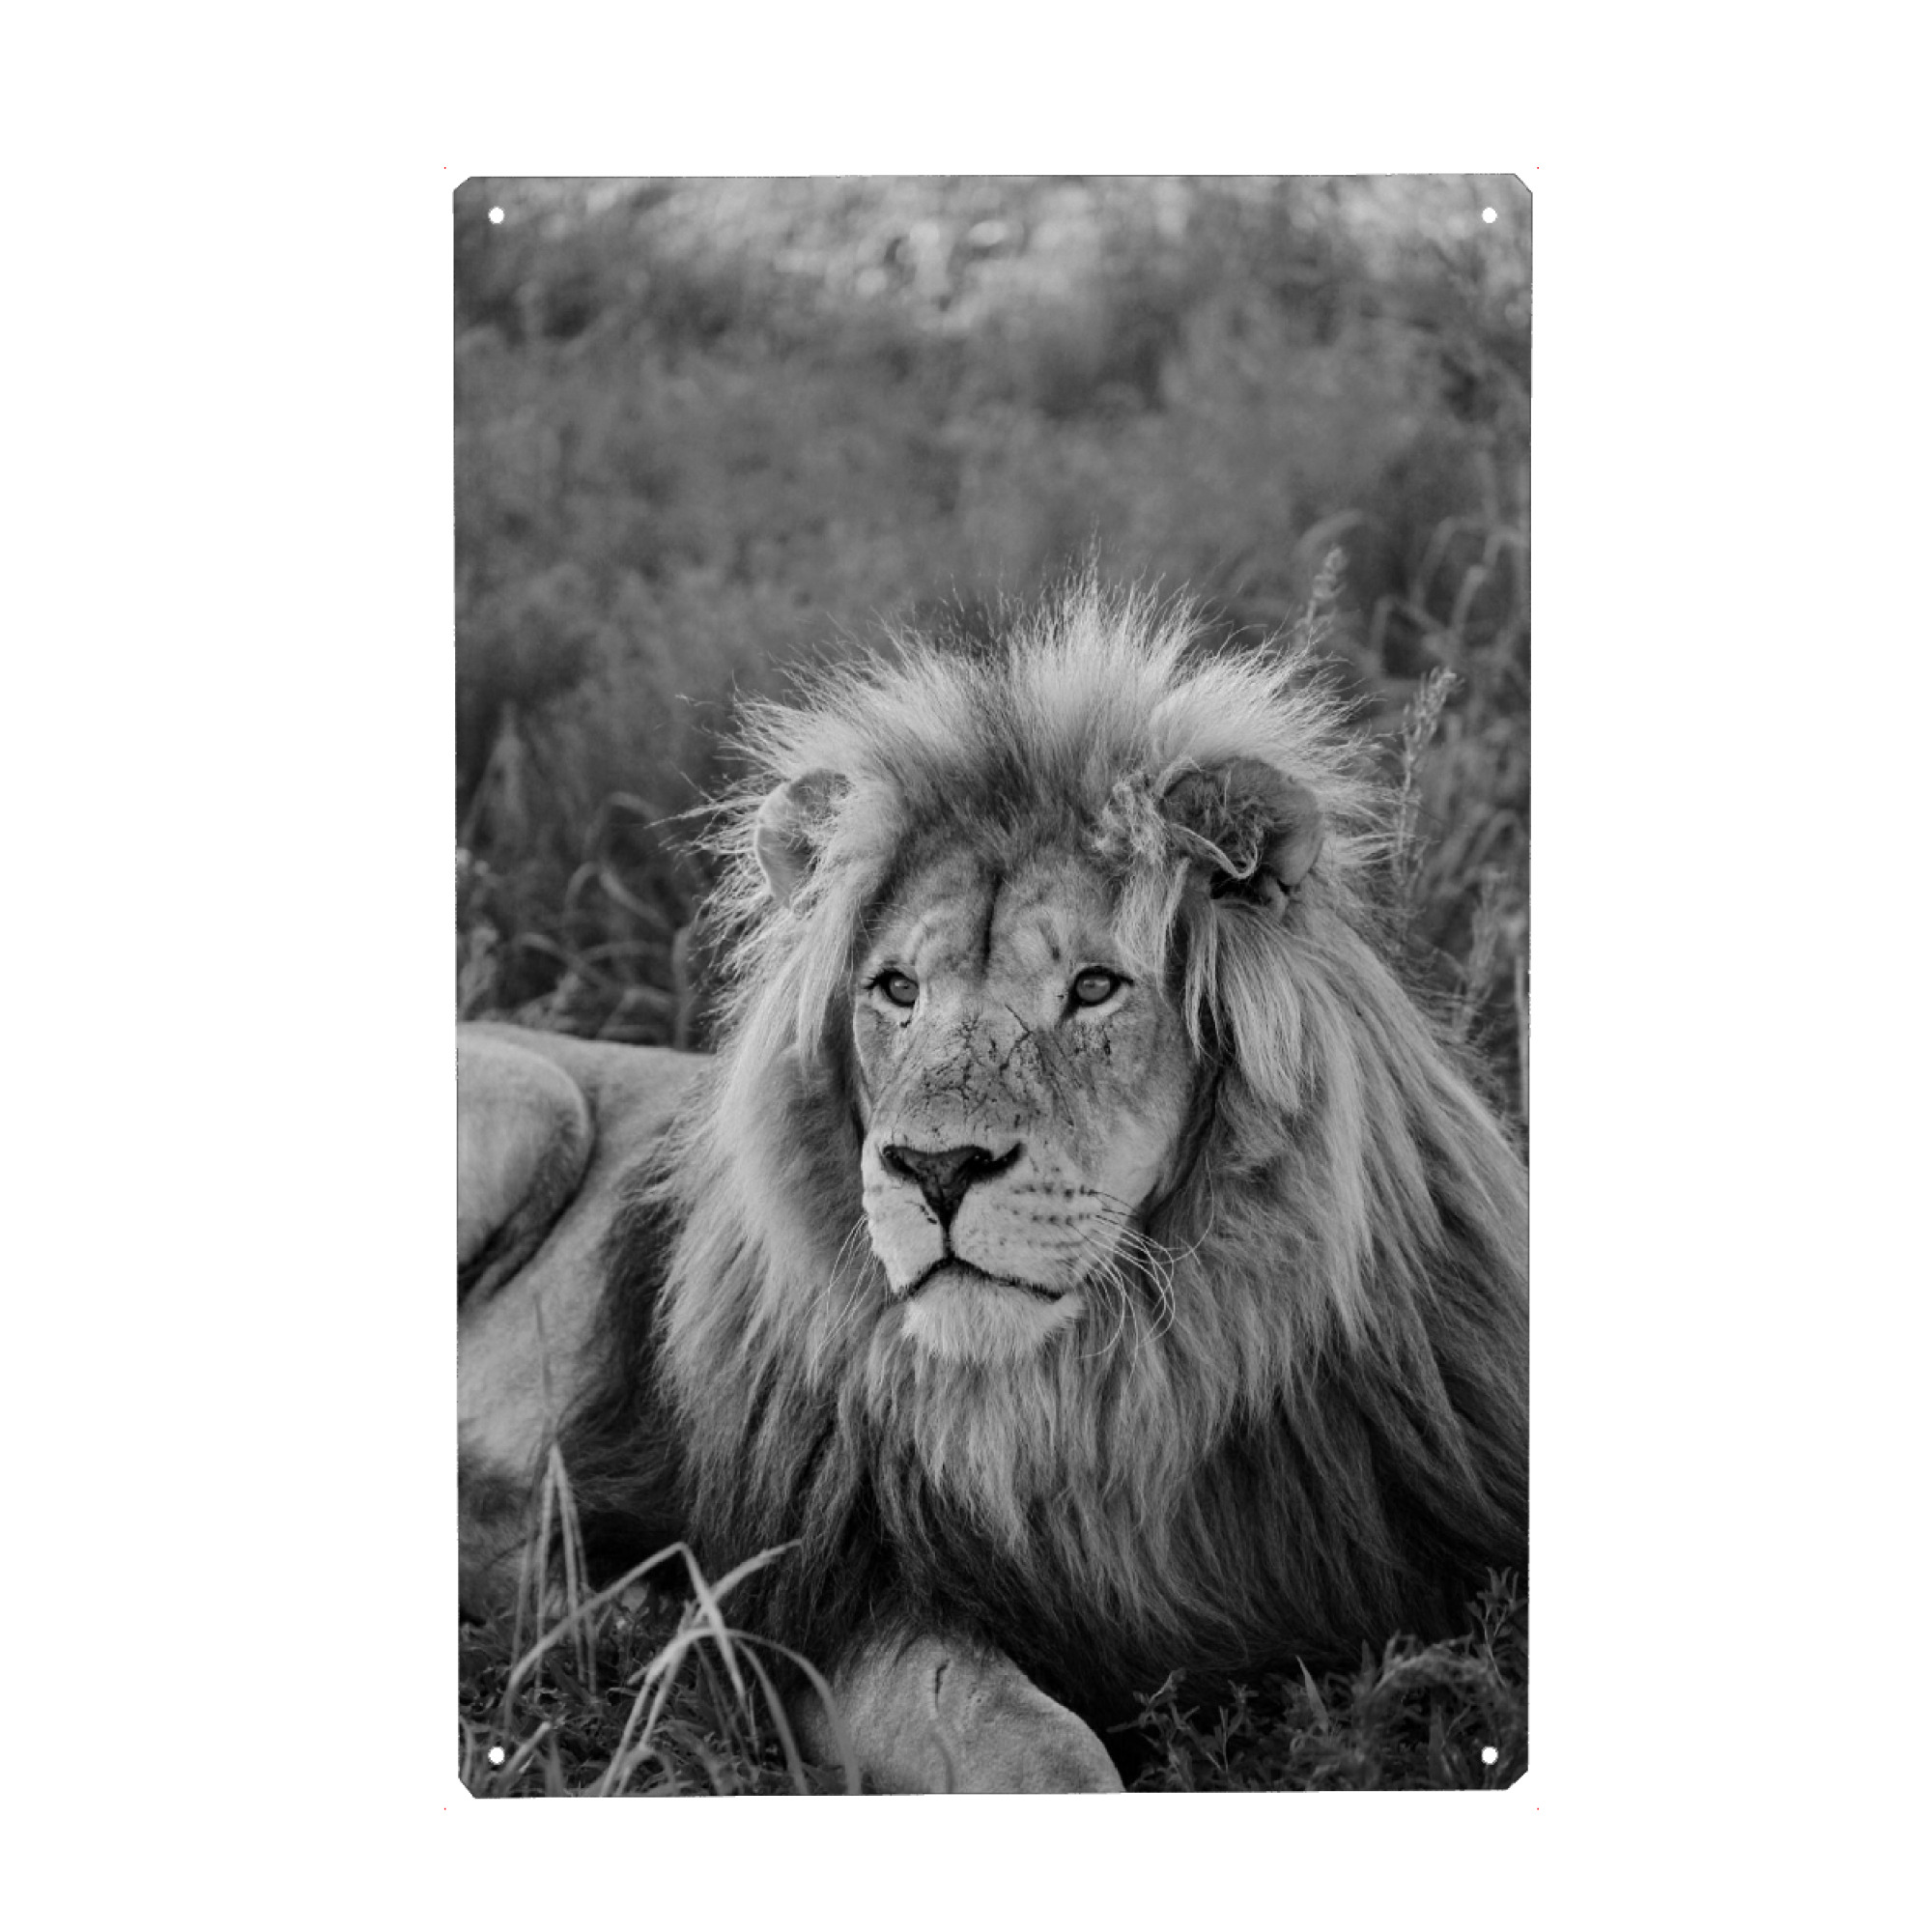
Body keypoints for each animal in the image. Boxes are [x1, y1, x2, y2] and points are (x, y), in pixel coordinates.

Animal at [458, 585, 1528, 1794]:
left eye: (1094, 988)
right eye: (895, 989)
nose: (934, 1168)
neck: (1104, 1389)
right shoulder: (835, 1601)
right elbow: (1041, 1749)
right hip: (536, 1097)